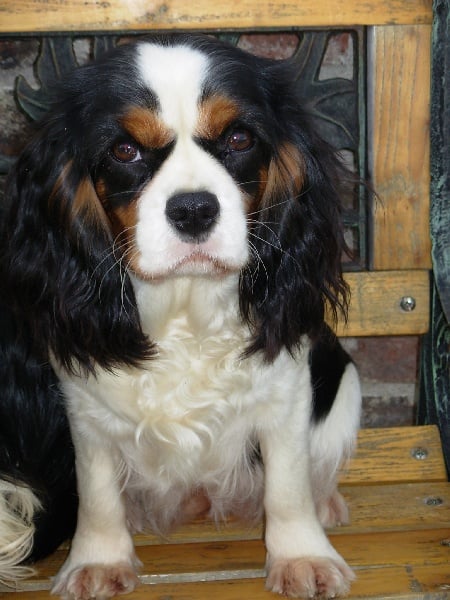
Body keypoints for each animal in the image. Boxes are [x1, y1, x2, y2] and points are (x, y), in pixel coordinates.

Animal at [0, 34, 361, 599]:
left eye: (239, 138)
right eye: (124, 150)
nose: (194, 209)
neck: (185, 304)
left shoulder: (287, 392)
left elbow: (288, 483)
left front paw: (302, 555)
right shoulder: (85, 408)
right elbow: (98, 489)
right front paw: (98, 559)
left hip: (344, 386)